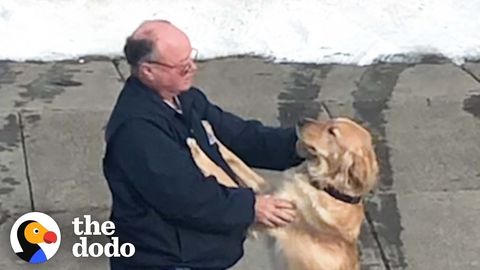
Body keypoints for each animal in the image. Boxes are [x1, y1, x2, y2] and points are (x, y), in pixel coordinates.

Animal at [188, 117, 378, 270]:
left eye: (332, 132)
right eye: (329, 121)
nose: (300, 120)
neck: (326, 188)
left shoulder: (261, 220)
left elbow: (220, 171)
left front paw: (195, 148)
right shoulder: (268, 196)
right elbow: (235, 159)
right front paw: (208, 131)